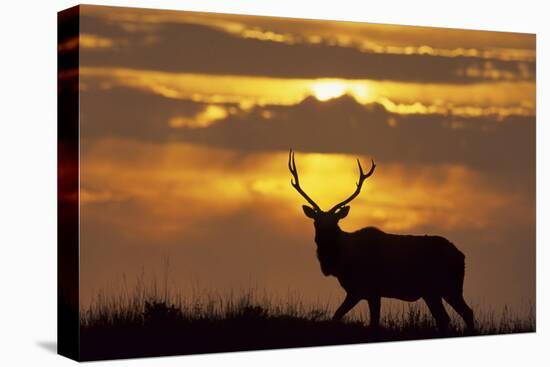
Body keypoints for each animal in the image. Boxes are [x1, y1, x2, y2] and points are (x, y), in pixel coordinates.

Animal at [292, 150, 476, 334]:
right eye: (316, 222)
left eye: (335, 222)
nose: (322, 238)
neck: (342, 263)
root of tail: (461, 256)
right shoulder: (361, 291)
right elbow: (339, 316)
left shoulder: (368, 289)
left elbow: (368, 321)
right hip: (432, 292)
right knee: (444, 318)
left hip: (449, 286)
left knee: (467, 312)